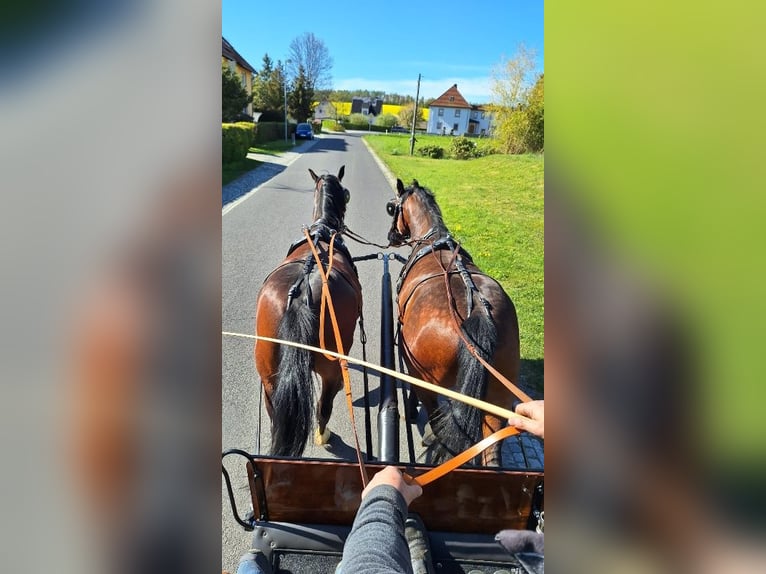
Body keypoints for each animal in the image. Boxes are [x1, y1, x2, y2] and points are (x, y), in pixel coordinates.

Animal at [254, 166, 362, 457]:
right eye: (346, 194)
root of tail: (302, 291)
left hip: (269, 375)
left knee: (275, 414)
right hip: (331, 368)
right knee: (324, 406)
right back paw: (322, 434)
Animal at [386, 178, 521, 466]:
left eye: (392, 207)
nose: (392, 236)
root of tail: (477, 312)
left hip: (429, 381)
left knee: (438, 424)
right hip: (499, 397)